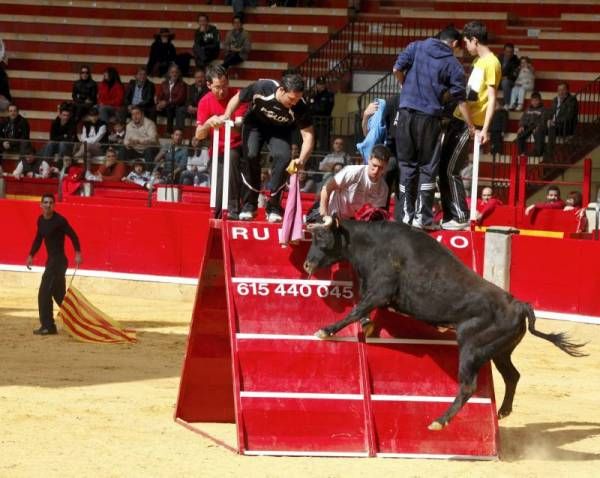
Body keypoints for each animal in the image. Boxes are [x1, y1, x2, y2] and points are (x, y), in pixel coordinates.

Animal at [302, 217, 584, 430]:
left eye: (322, 238)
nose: (307, 263)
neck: (373, 243)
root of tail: (519, 304)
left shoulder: (381, 290)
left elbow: (357, 308)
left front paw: (326, 331)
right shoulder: (378, 293)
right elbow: (363, 308)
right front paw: (367, 325)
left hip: (472, 348)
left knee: (469, 386)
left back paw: (440, 421)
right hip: (500, 351)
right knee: (512, 375)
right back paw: (502, 412)